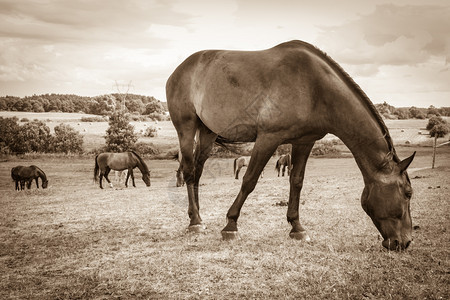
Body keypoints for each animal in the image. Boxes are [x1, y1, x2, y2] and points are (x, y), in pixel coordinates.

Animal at [167, 40, 416, 251]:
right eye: (408, 193)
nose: (404, 242)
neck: (315, 87)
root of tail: (179, 70)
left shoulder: (304, 141)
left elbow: (296, 181)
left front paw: (297, 228)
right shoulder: (268, 138)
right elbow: (249, 181)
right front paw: (230, 225)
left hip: (207, 132)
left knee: (197, 172)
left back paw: (197, 217)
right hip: (186, 128)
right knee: (188, 171)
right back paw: (195, 223)